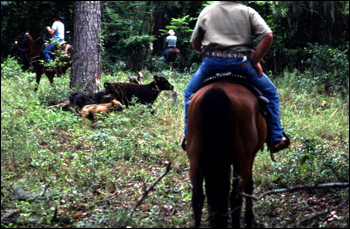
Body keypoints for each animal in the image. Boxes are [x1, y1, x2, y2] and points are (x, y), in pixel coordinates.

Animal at [187, 81, 266, 228]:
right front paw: (249, 217)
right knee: (235, 198)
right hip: (242, 160)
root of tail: (216, 91)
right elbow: (249, 186)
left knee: (198, 197)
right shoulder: (251, 156)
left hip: (195, 158)